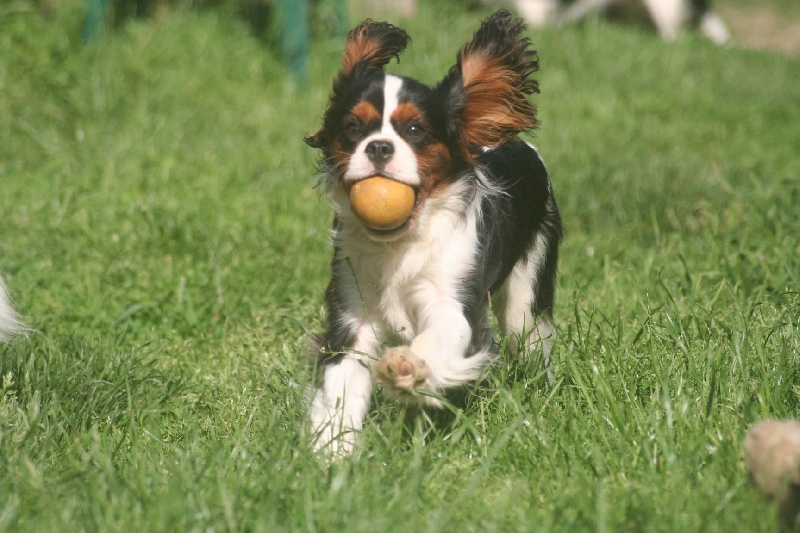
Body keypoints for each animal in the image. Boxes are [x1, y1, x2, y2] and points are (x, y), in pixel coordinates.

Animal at [304, 9, 564, 454]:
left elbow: (441, 335)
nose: (378, 147)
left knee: (530, 333)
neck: (400, 241)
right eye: (354, 128)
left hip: (527, 296)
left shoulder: (453, 295)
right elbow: (343, 382)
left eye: (415, 131)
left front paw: (407, 367)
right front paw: (333, 452)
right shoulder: (352, 306)